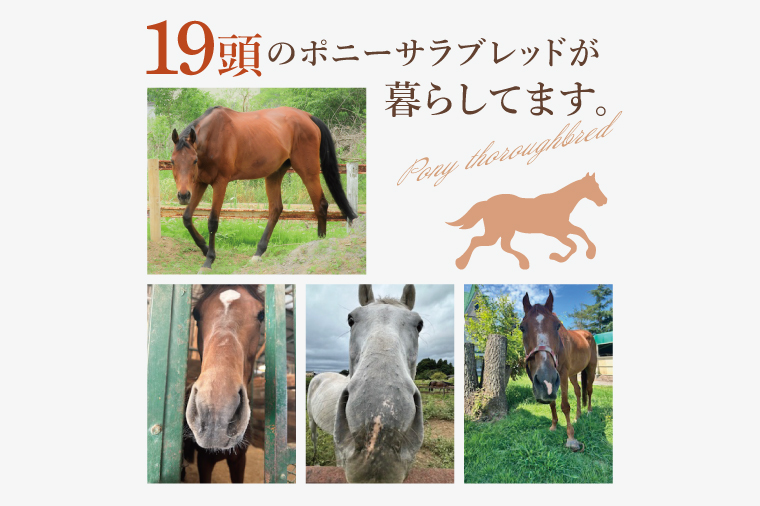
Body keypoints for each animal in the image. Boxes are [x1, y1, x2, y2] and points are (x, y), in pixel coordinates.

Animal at [170, 106, 358, 273]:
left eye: (194, 160)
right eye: (172, 161)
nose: (183, 195)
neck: (213, 136)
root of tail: (307, 116)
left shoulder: (220, 183)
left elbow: (212, 222)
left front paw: (209, 260)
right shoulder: (200, 183)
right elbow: (187, 217)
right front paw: (203, 247)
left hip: (308, 171)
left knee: (320, 204)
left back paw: (319, 242)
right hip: (275, 174)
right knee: (276, 209)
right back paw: (258, 252)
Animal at [447, 173, 607, 270]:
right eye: (594, 187)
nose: (604, 201)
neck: (560, 204)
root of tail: (486, 203)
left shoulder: (563, 229)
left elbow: (581, 232)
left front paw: (590, 253)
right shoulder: (557, 232)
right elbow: (574, 244)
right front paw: (557, 257)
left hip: (506, 231)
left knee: (503, 246)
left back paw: (524, 262)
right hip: (495, 232)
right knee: (477, 240)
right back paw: (461, 263)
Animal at [520, 291, 597, 451]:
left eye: (557, 326)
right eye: (522, 328)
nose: (545, 378)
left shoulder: (561, 375)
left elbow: (565, 406)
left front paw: (571, 438)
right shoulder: (552, 382)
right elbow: (552, 403)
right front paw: (554, 426)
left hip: (591, 369)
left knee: (589, 390)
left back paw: (588, 412)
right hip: (573, 374)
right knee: (578, 391)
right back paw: (577, 416)